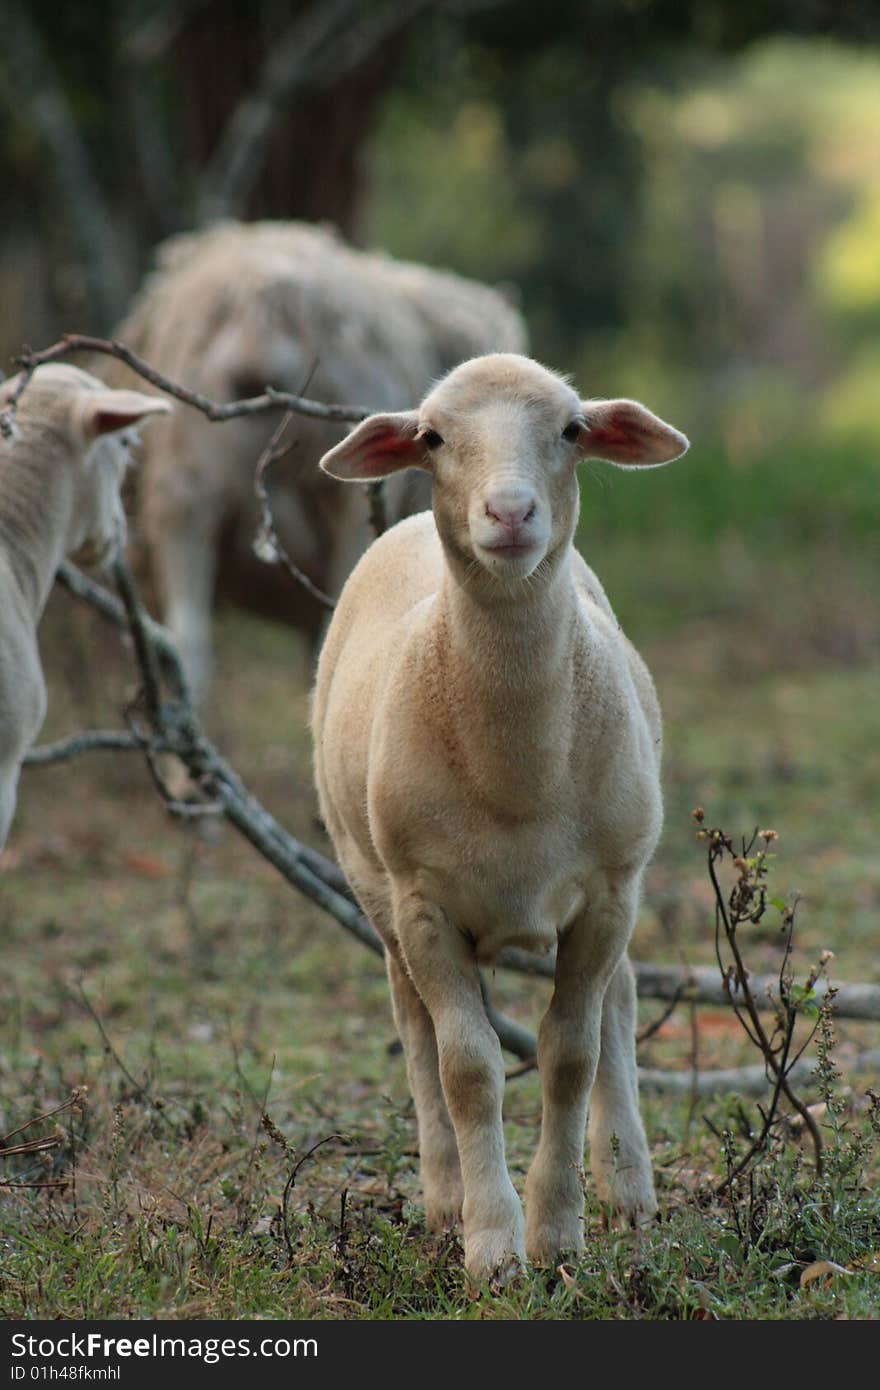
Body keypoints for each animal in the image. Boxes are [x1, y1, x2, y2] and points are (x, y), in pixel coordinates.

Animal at [308, 350, 686, 1278]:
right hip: (376, 888)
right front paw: (493, 1246)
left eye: (573, 429)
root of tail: (407, 525)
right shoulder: (424, 904)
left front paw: (558, 1233)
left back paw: (629, 1186)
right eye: (433, 437)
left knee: (622, 1000)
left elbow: (571, 1054)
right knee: (413, 1024)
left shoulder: (606, 894)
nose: (510, 512)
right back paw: (444, 1197)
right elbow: (469, 1068)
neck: (517, 775)